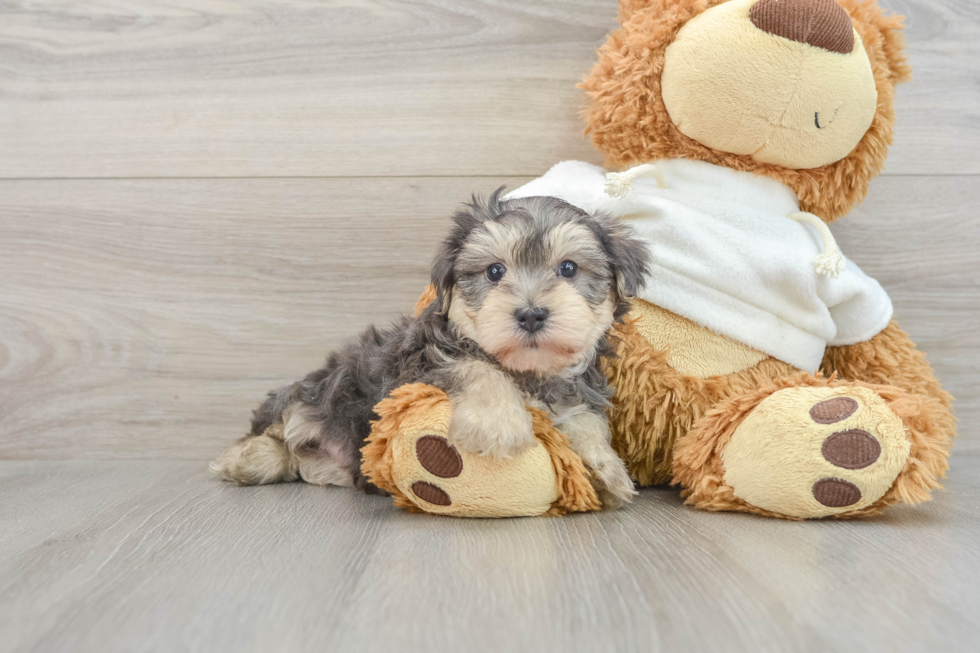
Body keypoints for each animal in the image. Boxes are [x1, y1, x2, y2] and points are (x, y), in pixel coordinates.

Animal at [211, 191, 652, 506]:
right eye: (494, 271)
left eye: (569, 269)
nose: (530, 314)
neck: (528, 373)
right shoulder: (418, 364)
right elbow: (474, 367)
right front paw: (499, 424)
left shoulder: (576, 389)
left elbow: (586, 419)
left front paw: (606, 468)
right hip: (315, 394)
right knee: (277, 430)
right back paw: (245, 460)